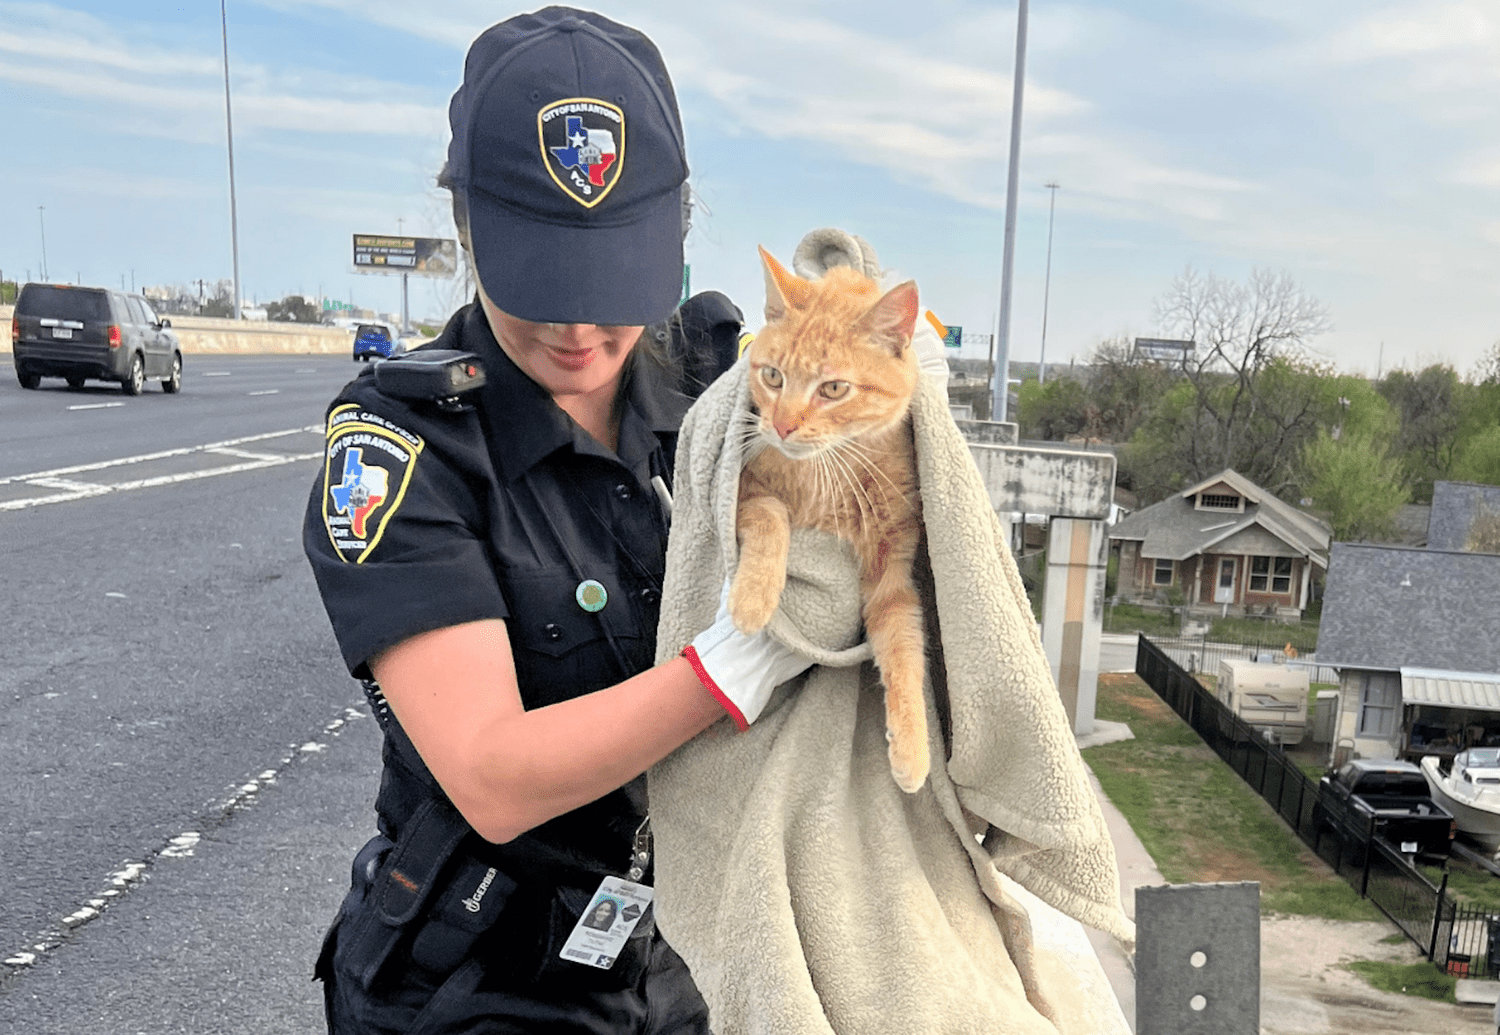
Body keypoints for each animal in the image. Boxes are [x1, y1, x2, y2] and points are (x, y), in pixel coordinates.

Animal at [726, 247, 924, 792]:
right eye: (773, 376)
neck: (826, 472)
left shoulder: (892, 566)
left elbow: (904, 645)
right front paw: (753, 598)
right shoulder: (746, 486)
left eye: (833, 388)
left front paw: (913, 746)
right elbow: (771, 512)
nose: (781, 426)